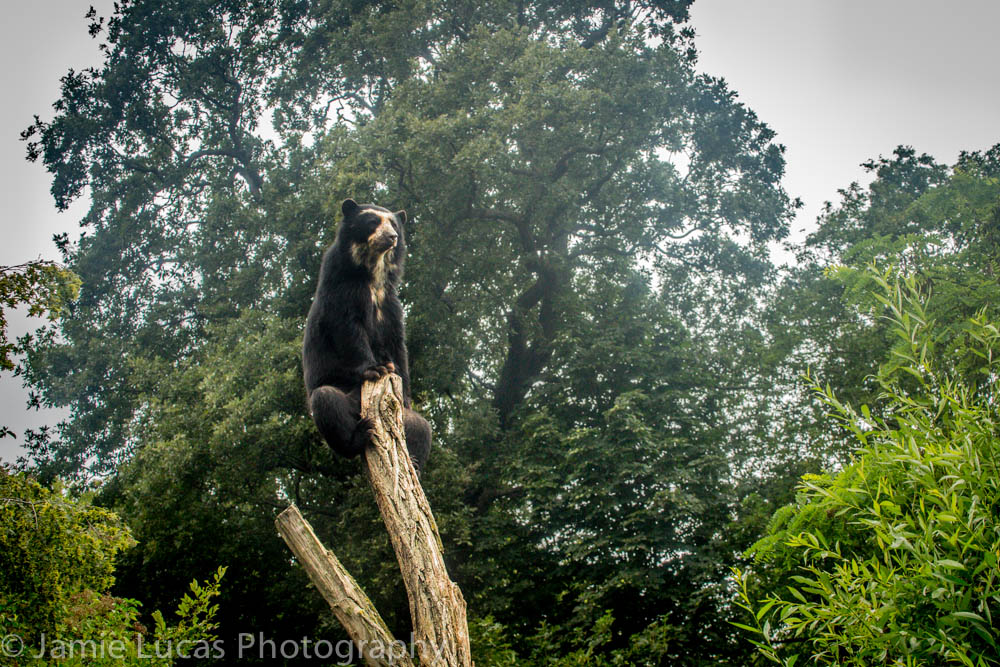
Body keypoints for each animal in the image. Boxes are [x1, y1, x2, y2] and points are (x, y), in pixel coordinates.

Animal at [302, 198, 431, 473]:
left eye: (394, 224)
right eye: (373, 221)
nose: (392, 237)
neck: (372, 274)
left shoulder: (390, 301)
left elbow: (397, 343)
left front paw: (403, 390)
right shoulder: (341, 289)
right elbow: (348, 330)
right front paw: (376, 369)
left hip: (404, 421)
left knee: (421, 427)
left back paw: (414, 463)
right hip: (341, 393)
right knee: (327, 401)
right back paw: (360, 435)